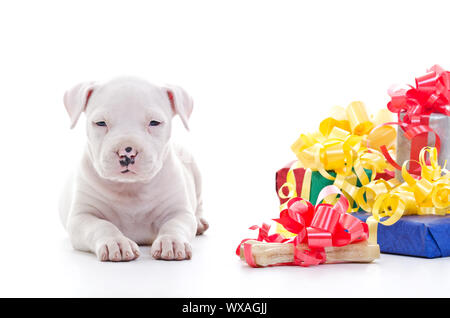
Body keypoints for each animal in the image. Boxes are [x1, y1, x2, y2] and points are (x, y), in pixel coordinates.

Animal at [58, 76, 209, 260]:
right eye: (100, 123)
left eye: (154, 122)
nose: (127, 152)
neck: (130, 187)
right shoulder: (82, 217)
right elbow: (101, 226)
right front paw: (116, 242)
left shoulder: (179, 212)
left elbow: (174, 225)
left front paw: (171, 241)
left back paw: (200, 222)